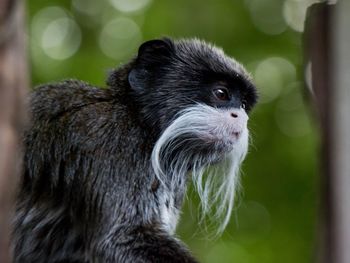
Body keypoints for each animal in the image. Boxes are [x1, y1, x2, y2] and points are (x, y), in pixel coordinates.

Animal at [12, 37, 258, 263]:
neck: (140, 123)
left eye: (244, 105)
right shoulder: (112, 142)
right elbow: (121, 239)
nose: (241, 117)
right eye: (221, 93)